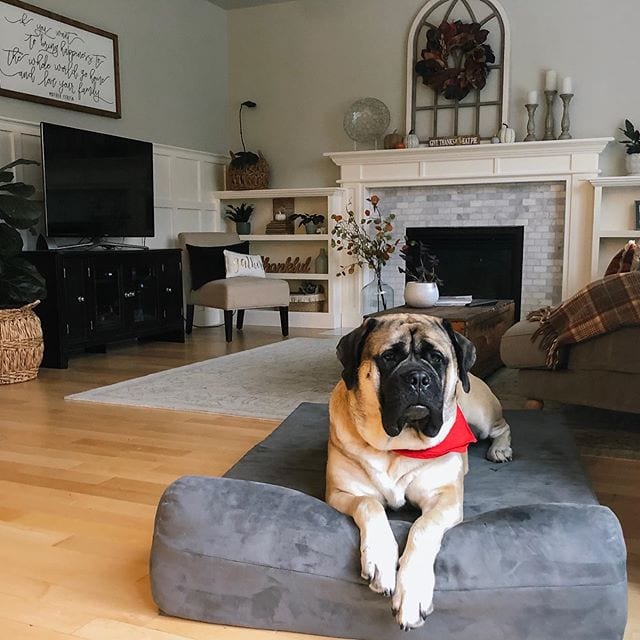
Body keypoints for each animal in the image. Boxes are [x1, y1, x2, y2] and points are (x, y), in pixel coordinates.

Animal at [328, 316, 512, 632]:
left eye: (436, 358)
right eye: (389, 357)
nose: (416, 378)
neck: (398, 446)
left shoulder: (445, 498)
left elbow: (423, 528)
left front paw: (412, 593)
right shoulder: (341, 492)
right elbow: (369, 504)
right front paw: (380, 559)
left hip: (482, 416)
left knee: (503, 427)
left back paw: (500, 449)